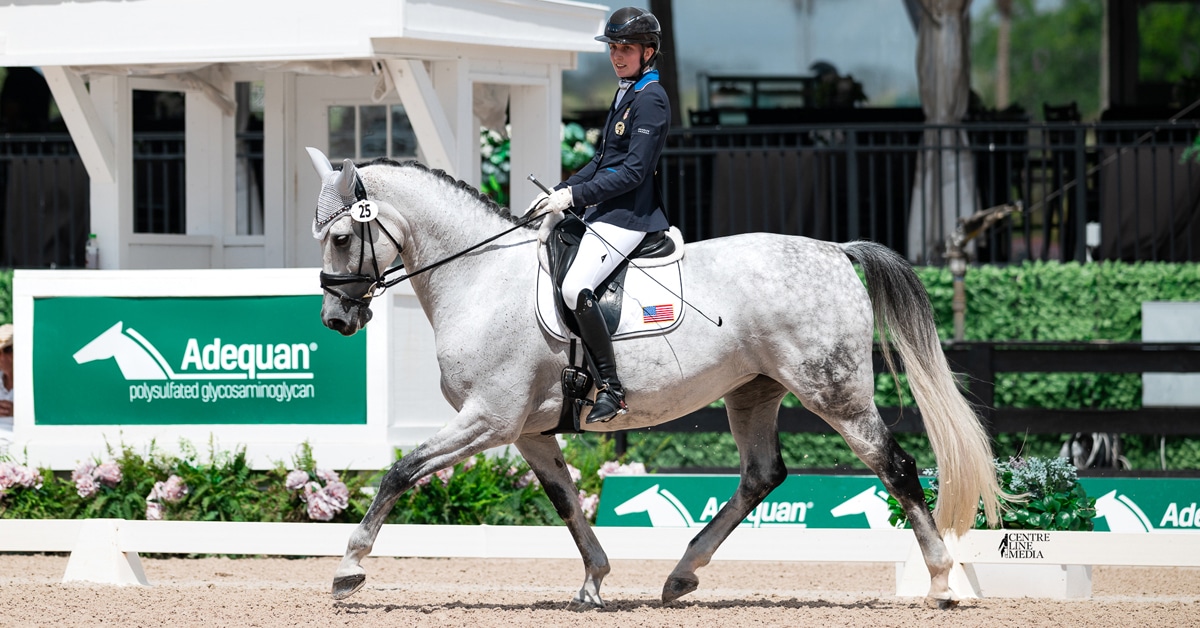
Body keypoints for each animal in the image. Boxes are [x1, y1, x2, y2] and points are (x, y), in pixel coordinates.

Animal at [305, 147, 1004, 609]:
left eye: (340, 237)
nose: (337, 318)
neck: (480, 277)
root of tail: (836, 252)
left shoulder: (489, 419)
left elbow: (401, 471)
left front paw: (348, 570)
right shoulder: (527, 430)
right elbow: (565, 500)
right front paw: (594, 580)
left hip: (833, 389)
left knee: (896, 466)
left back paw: (941, 582)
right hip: (753, 391)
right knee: (762, 475)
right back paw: (681, 575)